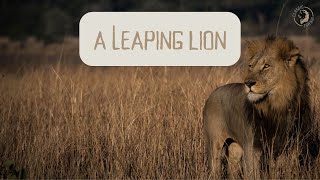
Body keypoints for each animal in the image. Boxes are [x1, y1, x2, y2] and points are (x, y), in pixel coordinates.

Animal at [204, 36, 318, 179]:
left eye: (266, 66)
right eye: (251, 66)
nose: (248, 83)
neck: (277, 106)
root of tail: (212, 93)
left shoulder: (289, 148)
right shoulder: (253, 149)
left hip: (236, 148)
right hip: (214, 144)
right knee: (215, 167)